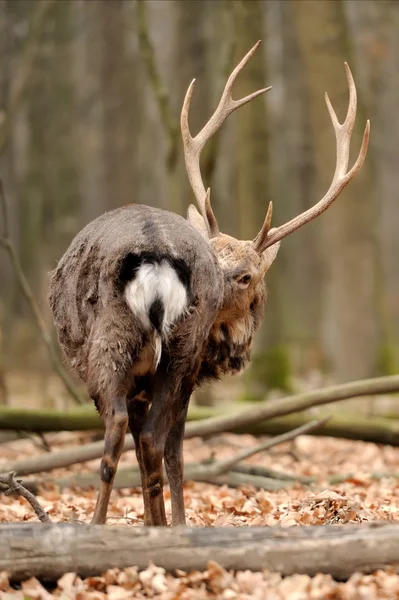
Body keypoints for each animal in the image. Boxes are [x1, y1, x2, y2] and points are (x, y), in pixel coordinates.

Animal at [48, 41, 370, 524]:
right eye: (213, 255)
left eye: (245, 275)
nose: (216, 291)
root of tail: (156, 254)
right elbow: (168, 449)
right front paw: (167, 522)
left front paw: (161, 522)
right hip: (159, 350)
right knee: (147, 436)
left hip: (121, 345)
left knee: (129, 430)